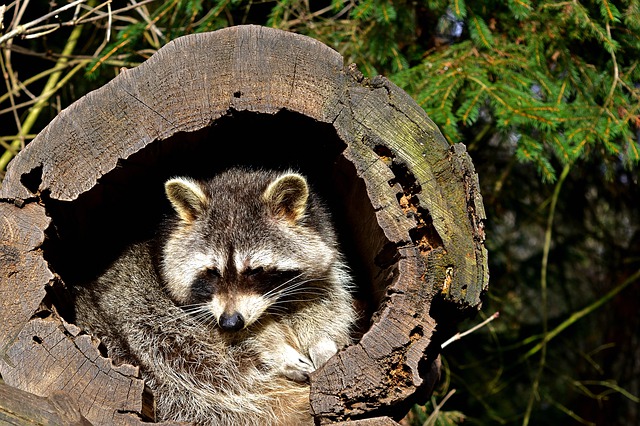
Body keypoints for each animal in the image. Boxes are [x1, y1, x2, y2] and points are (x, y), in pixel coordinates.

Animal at [72, 168, 356, 425]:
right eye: (212, 272)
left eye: (254, 271)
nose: (230, 322)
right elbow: (237, 340)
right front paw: (274, 348)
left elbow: (326, 301)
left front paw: (322, 341)